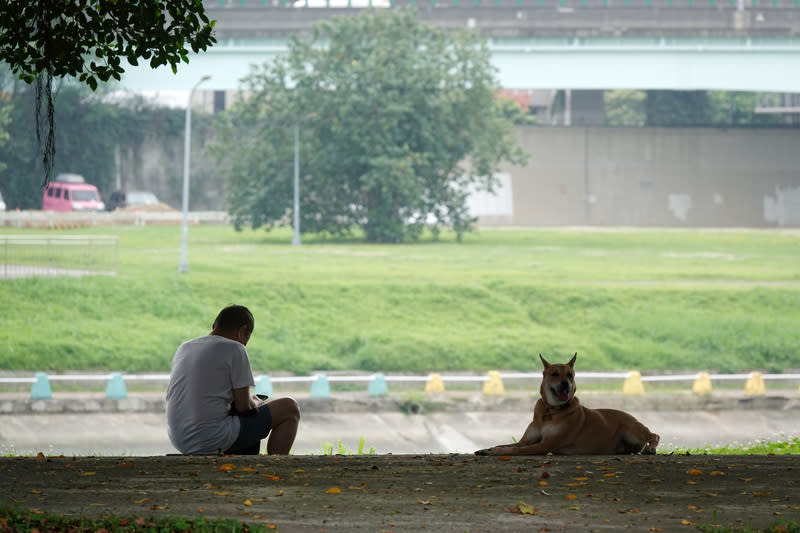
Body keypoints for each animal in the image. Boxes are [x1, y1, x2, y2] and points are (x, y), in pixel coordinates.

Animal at [478, 354, 660, 454]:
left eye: (570, 375)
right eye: (554, 374)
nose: (566, 384)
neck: (551, 410)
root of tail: (632, 416)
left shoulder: (545, 444)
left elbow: (515, 449)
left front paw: (496, 452)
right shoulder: (526, 441)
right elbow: (507, 444)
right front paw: (486, 449)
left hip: (633, 431)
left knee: (655, 435)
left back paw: (651, 448)